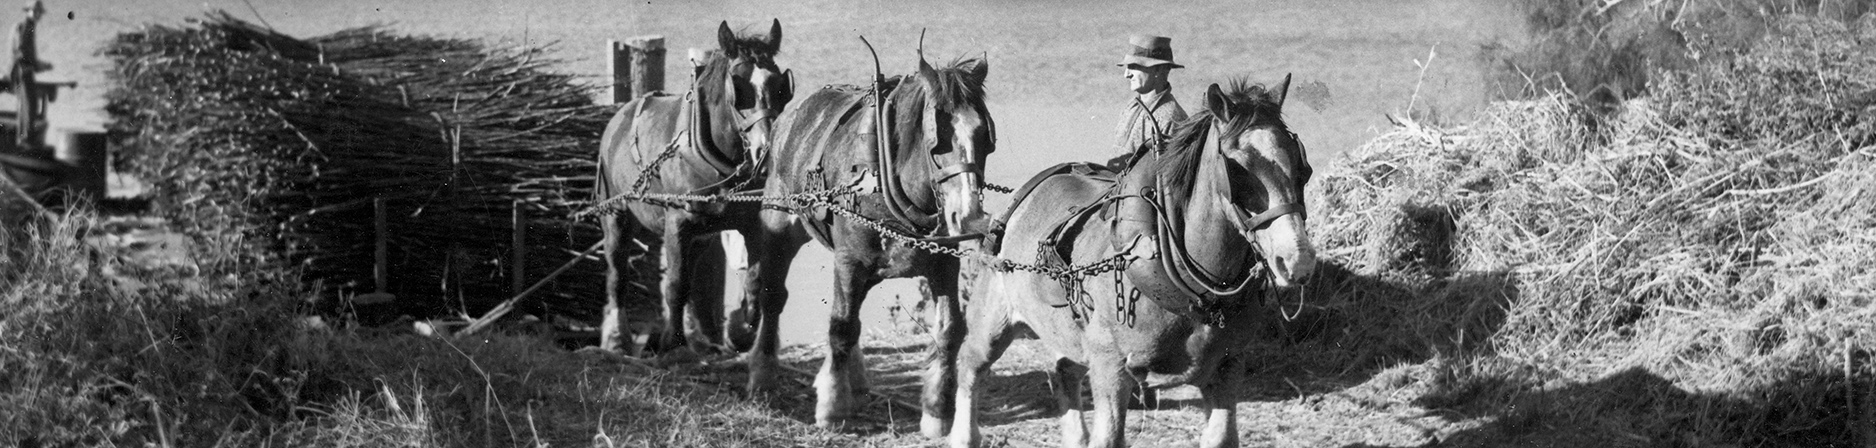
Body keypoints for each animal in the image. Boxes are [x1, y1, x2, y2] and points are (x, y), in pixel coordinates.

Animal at [593, 20, 793, 357]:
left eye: (780, 86)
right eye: (738, 87)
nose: (765, 155)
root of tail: (620, 115)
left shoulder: (751, 225)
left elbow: (753, 280)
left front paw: (742, 332)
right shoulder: (677, 224)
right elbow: (675, 285)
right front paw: (672, 344)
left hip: (700, 236)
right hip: (616, 216)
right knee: (617, 276)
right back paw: (618, 339)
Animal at [742, 49, 994, 431]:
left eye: (984, 137)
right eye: (937, 140)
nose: (967, 217)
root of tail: (789, 118)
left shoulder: (943, 264)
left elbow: (949, 329)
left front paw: (936, 410)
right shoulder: (849, 261)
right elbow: (841, 326)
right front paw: (832, 406)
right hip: (780, 226)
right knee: (773, 297)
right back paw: (763, 373)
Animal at [947, 76, 1317, 448]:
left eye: (1301, 166)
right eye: (1237, 168)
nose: (1297, 260)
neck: (1194, 288)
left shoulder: (1227, 368)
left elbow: (1222, 436)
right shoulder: (1110, 369)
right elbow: (1109, 437)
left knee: (1063, 373)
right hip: (993, 318)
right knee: (970, 365)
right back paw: (963, 433)